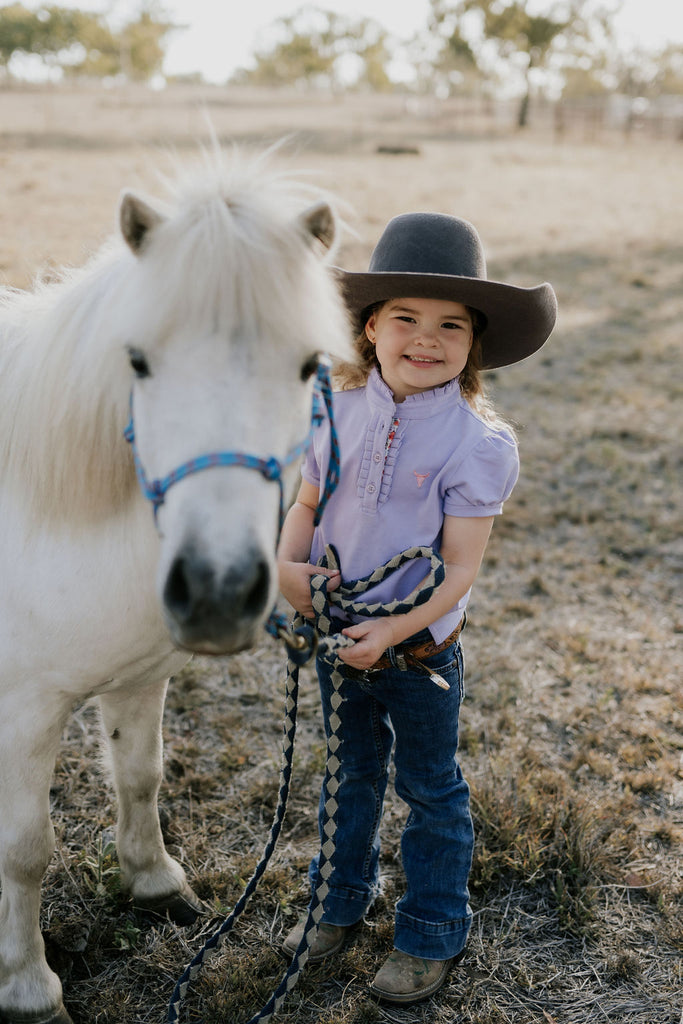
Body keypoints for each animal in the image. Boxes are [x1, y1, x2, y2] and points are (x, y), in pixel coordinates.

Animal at [0, 146, 352, 1024]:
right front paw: (28, 987)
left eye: (308, 366)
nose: (219, 590)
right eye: (137, 362)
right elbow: (24, 850)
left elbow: (140, 775)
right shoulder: (22, 710)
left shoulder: (139, 677)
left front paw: (153, 882)